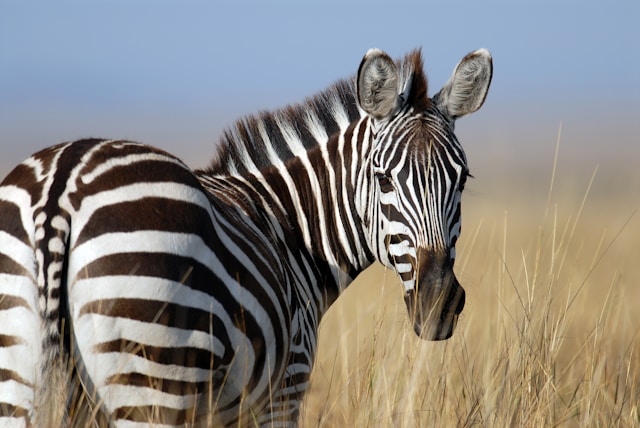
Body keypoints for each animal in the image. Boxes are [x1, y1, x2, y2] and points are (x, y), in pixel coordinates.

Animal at [0, 47, 492, 424]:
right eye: (383, 179)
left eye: (462, 179)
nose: (438, 303)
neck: (291, 230)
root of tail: (61, 187)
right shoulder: (283, 388)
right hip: (151, 379)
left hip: (21, 380)